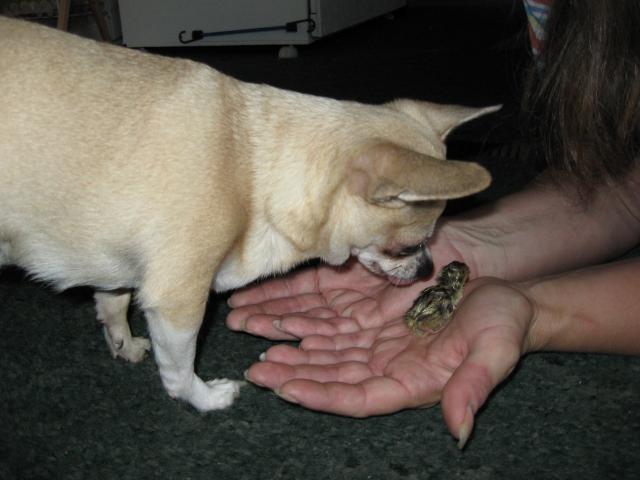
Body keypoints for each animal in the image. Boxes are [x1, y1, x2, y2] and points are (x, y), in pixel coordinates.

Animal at [0, 16, 496, 410]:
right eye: (409, 247)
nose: (429, 267)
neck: (256, 167)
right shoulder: (177, 300)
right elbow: (178, 366)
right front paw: (203, 398)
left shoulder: (112, 258)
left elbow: (112, 299)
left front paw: (121, 341)